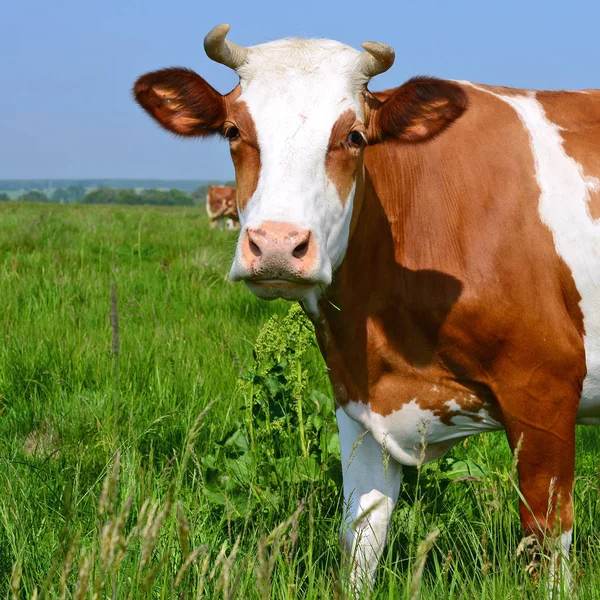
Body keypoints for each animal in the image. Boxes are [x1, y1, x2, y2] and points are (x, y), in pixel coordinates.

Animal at [136, 24, 600, 596]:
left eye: (354, 136)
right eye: (231, 131)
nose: (276, 245)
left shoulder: (544, 389)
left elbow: (547, 545)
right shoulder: (358, 399)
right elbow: (363, 536)